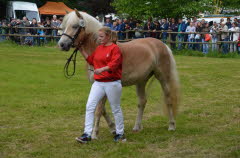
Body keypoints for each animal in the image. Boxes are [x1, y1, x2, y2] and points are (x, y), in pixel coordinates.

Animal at [57, 9, 180, 139]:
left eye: (75, 26)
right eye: (63, 27)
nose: (62, 44)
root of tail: (163, 45)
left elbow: (99, 110)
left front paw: (95, 134)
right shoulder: (96, 86)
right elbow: (102, 109)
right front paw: (113, 128)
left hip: (163, 78)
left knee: (168, 99)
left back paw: (171, 125)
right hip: (141, 81)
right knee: (142, 102)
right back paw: (137, 127)